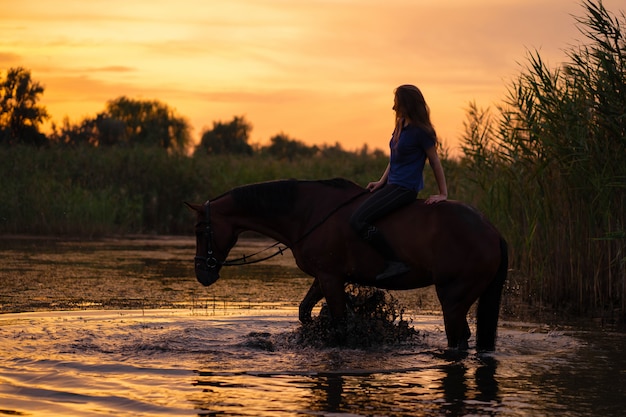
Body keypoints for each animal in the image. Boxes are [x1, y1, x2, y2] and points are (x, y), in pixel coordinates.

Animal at [186, 176, 508, 352]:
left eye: (200, 230)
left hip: (453, 298)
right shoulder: (323, 277)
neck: (308, 212)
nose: (202, 272)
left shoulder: (330, 278)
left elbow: (340, 326)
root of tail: (492, 231)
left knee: (458, 339)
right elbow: (305, 312)